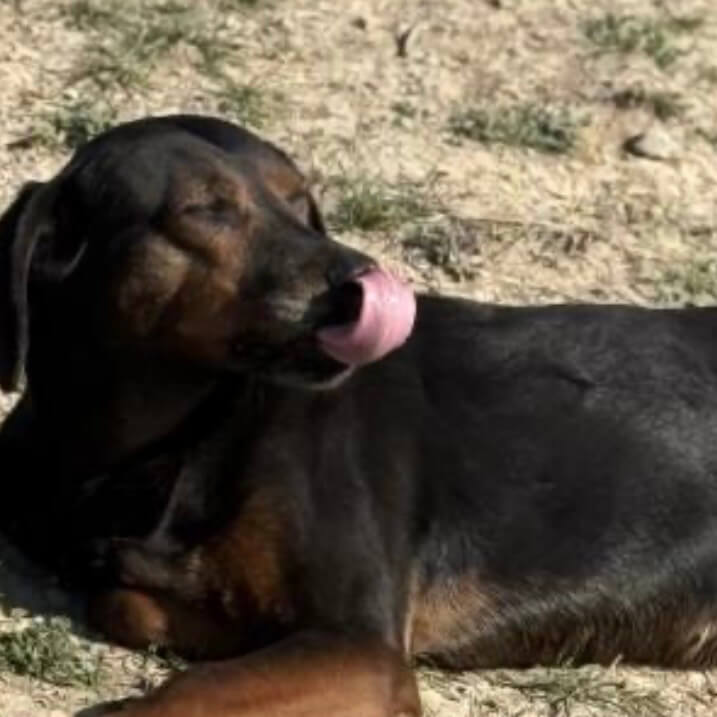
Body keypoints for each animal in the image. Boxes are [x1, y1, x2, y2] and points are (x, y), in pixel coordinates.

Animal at [2, 115, 717, 716]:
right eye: (205, 209)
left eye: (300, 202)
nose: (364, 277)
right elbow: (127, 602)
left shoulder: (362, 647)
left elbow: (180, 693)